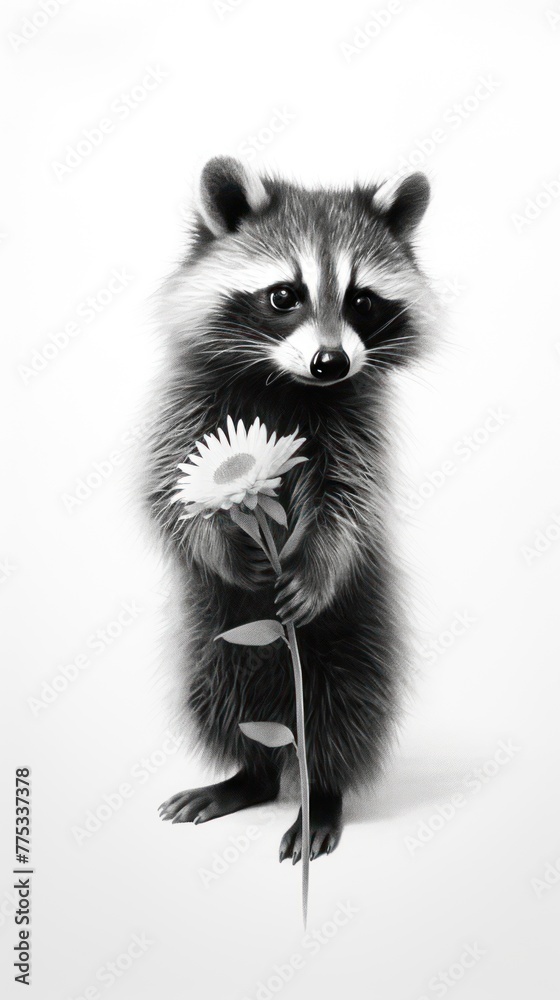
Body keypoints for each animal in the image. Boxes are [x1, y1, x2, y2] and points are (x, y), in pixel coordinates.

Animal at [149, 156, 435, 862]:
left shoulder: (355, 420)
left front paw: (319, 563)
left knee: (342, 707)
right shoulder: (187, 400)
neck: (285, 383)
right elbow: (166, 487)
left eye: (361, 300)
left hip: (359, 624)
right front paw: (220, 544)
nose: (331, 362)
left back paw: (321, 793)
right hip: (212, 634)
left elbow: (352, 500)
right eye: (285, 295)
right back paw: (247, 775)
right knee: (224, 698)